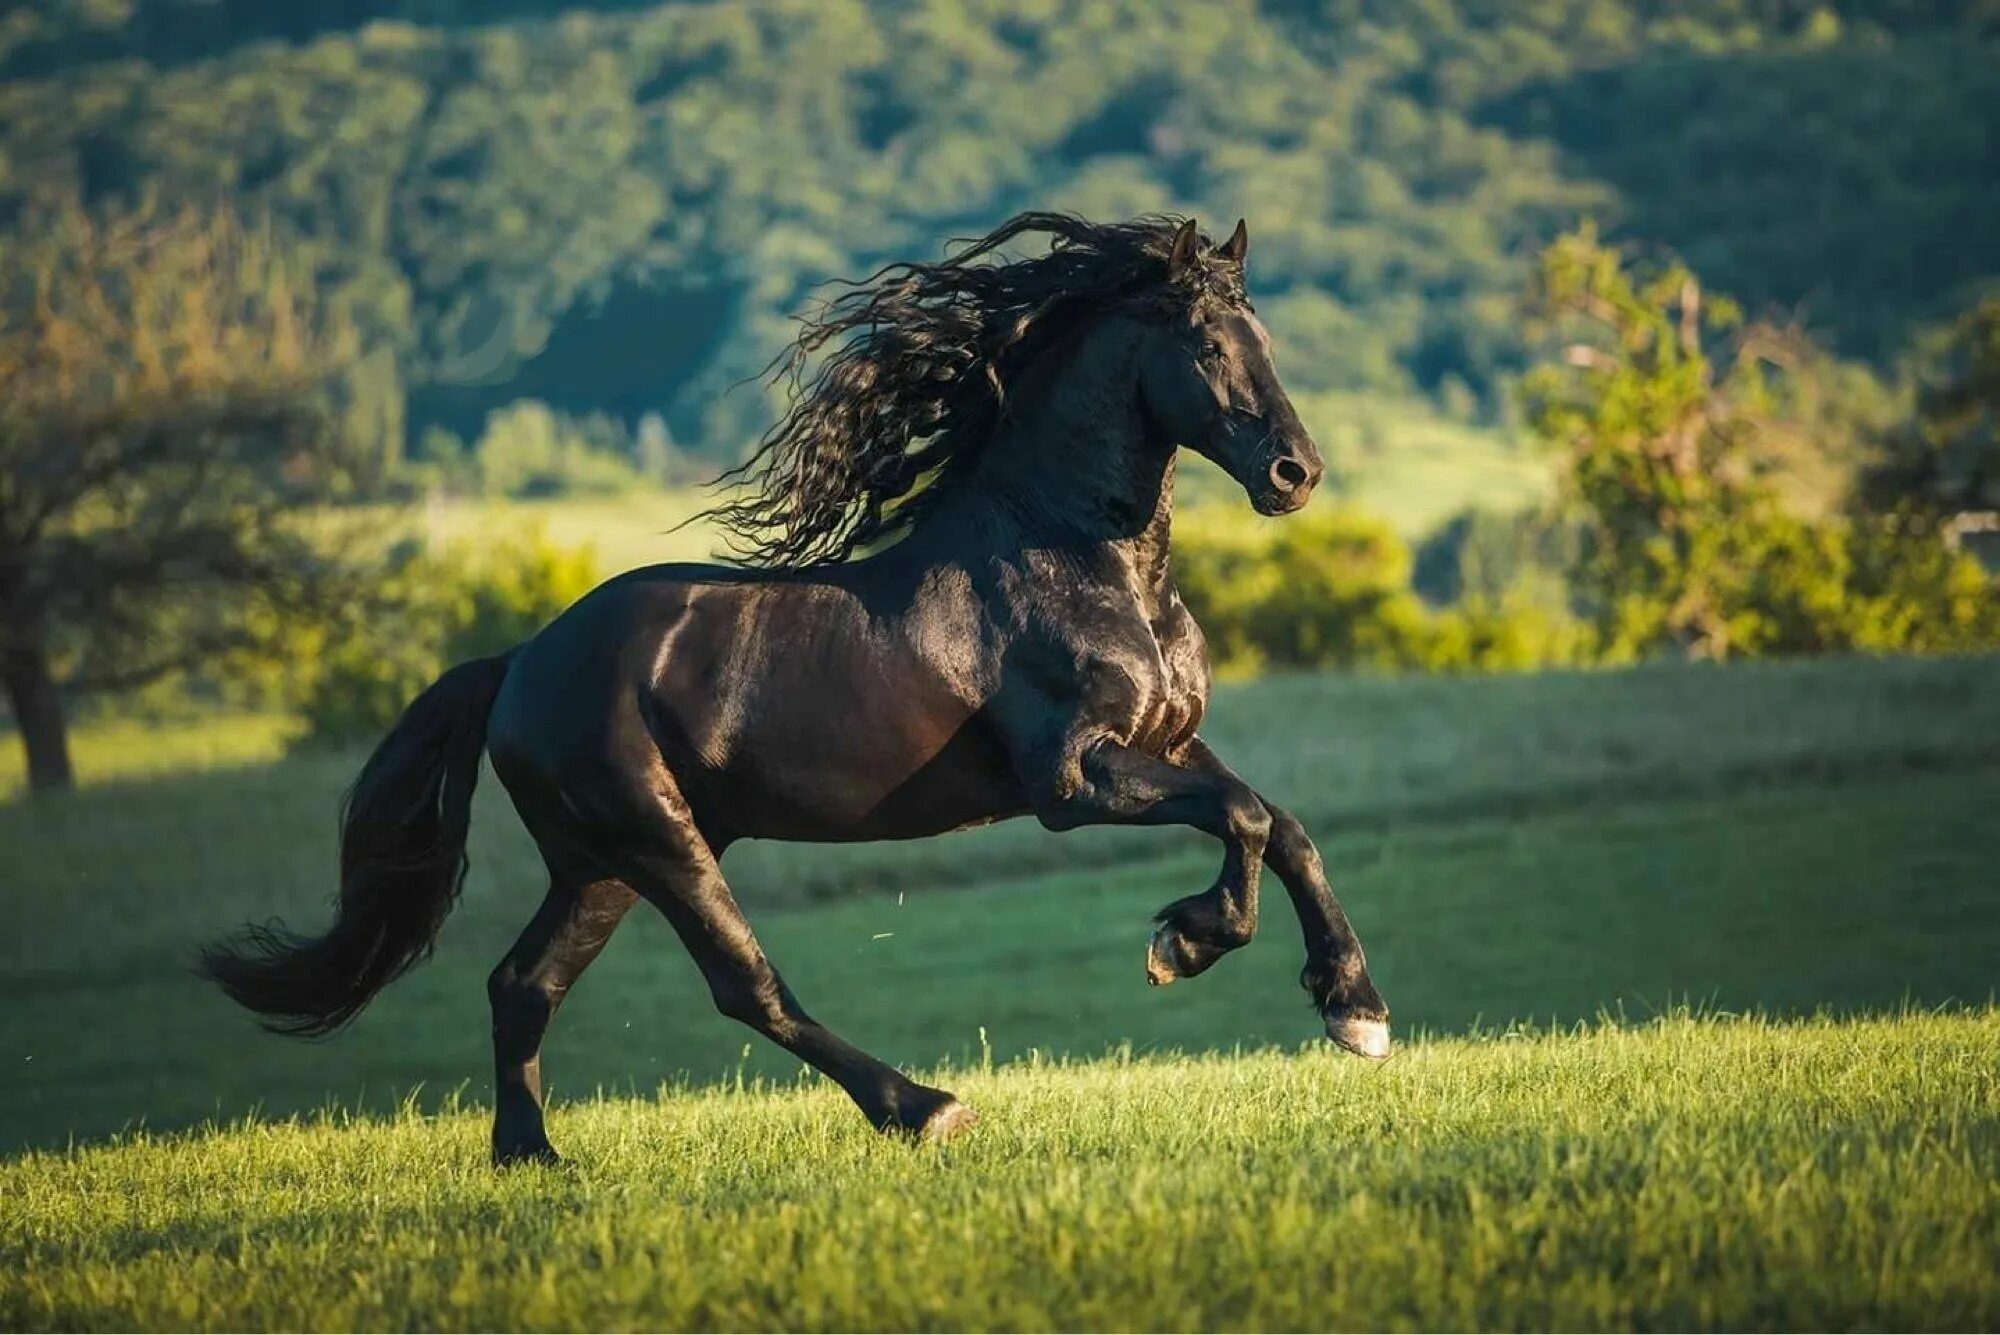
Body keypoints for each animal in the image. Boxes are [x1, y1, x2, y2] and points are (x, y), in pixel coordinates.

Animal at [203, 213, 1392, 1159]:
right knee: (746, 988)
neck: (1081, 558)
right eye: (1207, 343)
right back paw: (923, 1108)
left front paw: (1353, 1008)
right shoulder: (1072, 781)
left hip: (599, 863)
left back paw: (529, 1155)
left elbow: (1279, 824)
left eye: (1267, 341)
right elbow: (1242, 818)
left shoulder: (1167, 743)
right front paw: (1184, 944)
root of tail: (518, 664)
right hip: (657, 844)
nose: (1295, 474)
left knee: (521, 985)